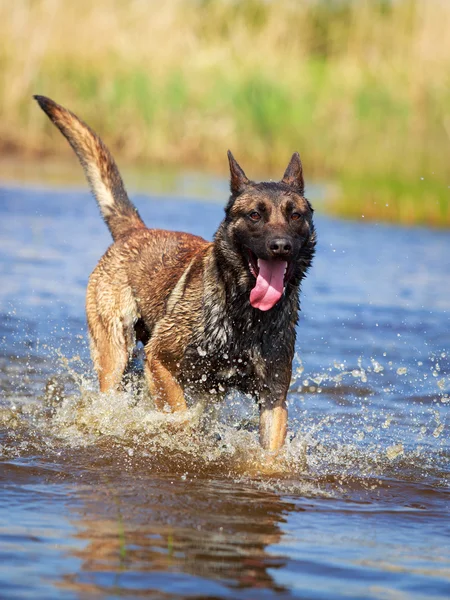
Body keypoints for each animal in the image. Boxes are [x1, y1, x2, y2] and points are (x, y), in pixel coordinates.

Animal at [35, 95, 314, 450]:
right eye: (254, 215)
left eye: (295, 216)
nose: (280, 246)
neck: (244, 314)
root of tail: (135, 231)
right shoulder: (159, 359)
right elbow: (180, 416)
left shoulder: (273, 395)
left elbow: (270, 451)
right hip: (115, 354)